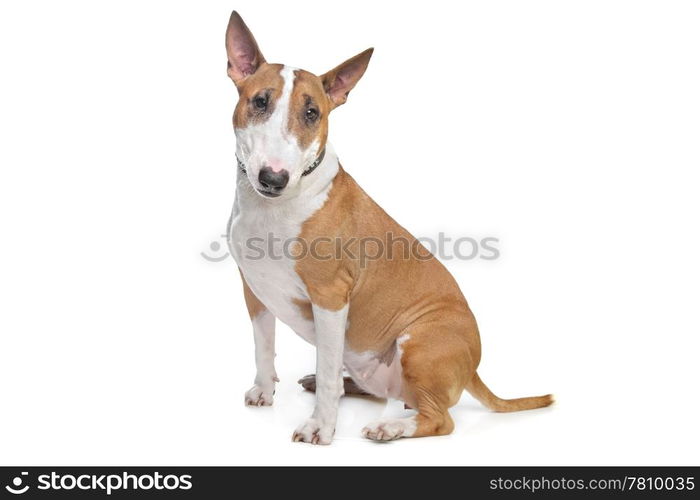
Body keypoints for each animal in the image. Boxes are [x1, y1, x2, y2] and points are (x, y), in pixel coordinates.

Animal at [224, 10, 552, 446]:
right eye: (260, 101)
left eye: (312, 113)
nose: (274, 179)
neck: (274, 207)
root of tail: (473, 369)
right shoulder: (254, 289)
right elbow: (264, 347)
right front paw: (263, 391)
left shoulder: (331, 297)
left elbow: (329, 373)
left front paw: (320, 428)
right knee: (381, 392)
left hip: (421, 341)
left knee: (439, 418)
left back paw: (389, 426)